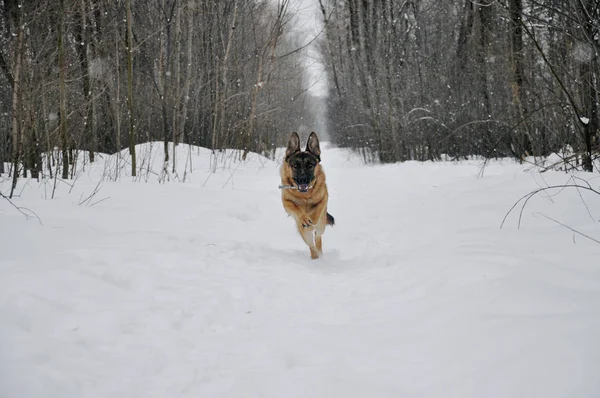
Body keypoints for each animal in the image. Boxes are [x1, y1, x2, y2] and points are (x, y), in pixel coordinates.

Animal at [280, 132, 336, 260]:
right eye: (295, 166)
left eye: (310, 165)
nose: (303, 180)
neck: (305, 196)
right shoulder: (286, 202)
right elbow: (297, 209)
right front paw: (305, 218)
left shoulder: (323, 199)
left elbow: (316, 211)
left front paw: (311, 219)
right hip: (304, 233)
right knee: (311, 245)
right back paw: (315, 257)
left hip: (321, 226)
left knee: (317, 237)